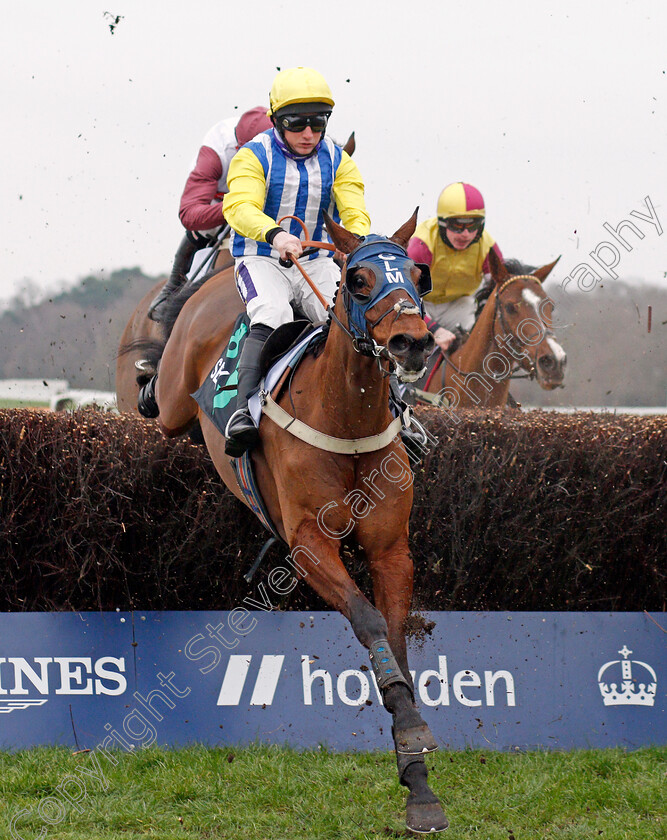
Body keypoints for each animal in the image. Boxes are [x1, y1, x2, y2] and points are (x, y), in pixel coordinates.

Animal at [122, 212, 452, 832]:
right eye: (358, 279)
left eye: (419, 275)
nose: (412, 342)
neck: (346, 419)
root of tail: (223, 276)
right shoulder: (309, 544)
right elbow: (369, 622)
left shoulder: (390, 548)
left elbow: (395, 643)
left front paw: (417, 778)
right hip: (179, 397)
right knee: (163, 399)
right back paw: (149, 373)